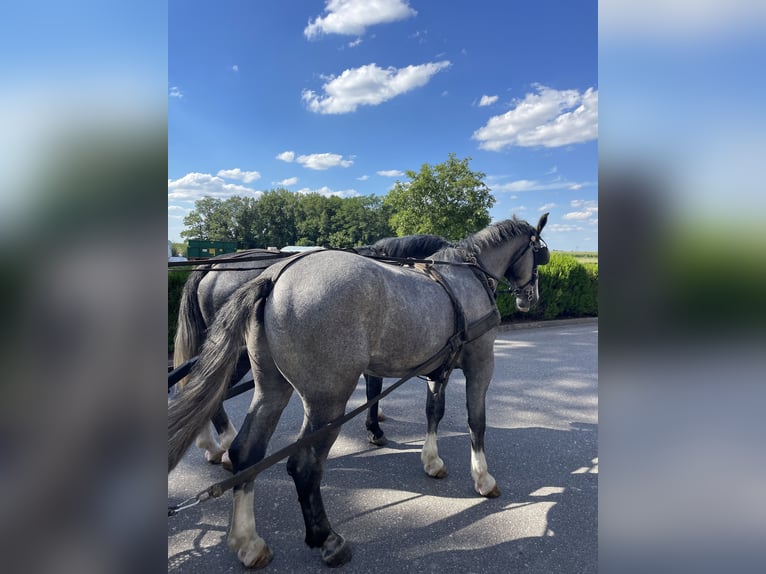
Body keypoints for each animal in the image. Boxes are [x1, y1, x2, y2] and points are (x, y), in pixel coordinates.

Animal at [172, 234, 456, 464]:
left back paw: (210, 443)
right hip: (237, 354)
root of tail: (212, 264)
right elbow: (374, 389)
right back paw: (225, 441)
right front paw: (375, 429)